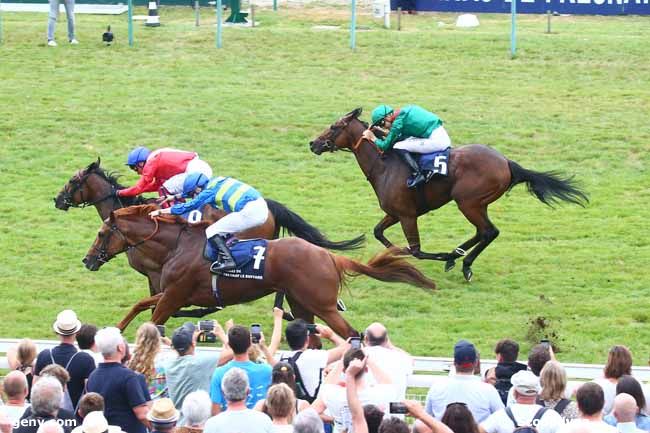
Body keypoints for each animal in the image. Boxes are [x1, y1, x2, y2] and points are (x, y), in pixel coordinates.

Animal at [82, 204, 436, 332]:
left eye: (101, 233)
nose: (87, 260)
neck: (178, 244)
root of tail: (328, 257)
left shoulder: (174, 295)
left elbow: (153, 319)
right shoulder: (175, 293)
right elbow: (141, 303)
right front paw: (117, 328)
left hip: (322, 305)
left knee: (351, 335)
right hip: (301, 303)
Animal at [308, 109, 588, 280]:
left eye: (333, 126)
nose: (313, 144)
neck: (384, 164)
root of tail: (506, 162)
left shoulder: (407, 215)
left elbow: (416, 250)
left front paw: (437, 255)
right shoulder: (394, 213)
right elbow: (379, 232)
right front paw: (395, 253)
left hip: (468, 202)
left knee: (488, 231)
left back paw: (460, 261)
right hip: (476, 203)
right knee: (484, 232)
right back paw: (458, 256)